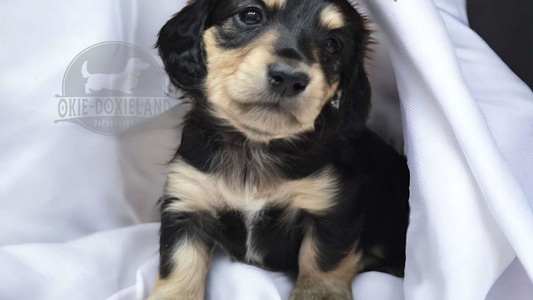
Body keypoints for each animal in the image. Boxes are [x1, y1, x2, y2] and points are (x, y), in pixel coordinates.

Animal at [150, 0, 408, 300]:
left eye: (333, 45)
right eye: (250, 15)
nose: (288, 78)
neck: (255, 146)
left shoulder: (332, 208)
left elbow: (322, 263)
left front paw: (316, 292)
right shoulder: (187, 203)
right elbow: (179, 268)